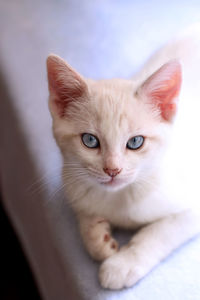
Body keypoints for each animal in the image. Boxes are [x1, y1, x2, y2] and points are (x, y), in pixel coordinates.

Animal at [46, 24, 200, 290]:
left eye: (135, 142)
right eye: (90, 140)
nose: (112, 170)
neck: (120, 196)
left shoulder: (193, 205)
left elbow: (159, 232)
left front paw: (122, 264)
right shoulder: (74, 184)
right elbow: (85, 214)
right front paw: (99, 240)